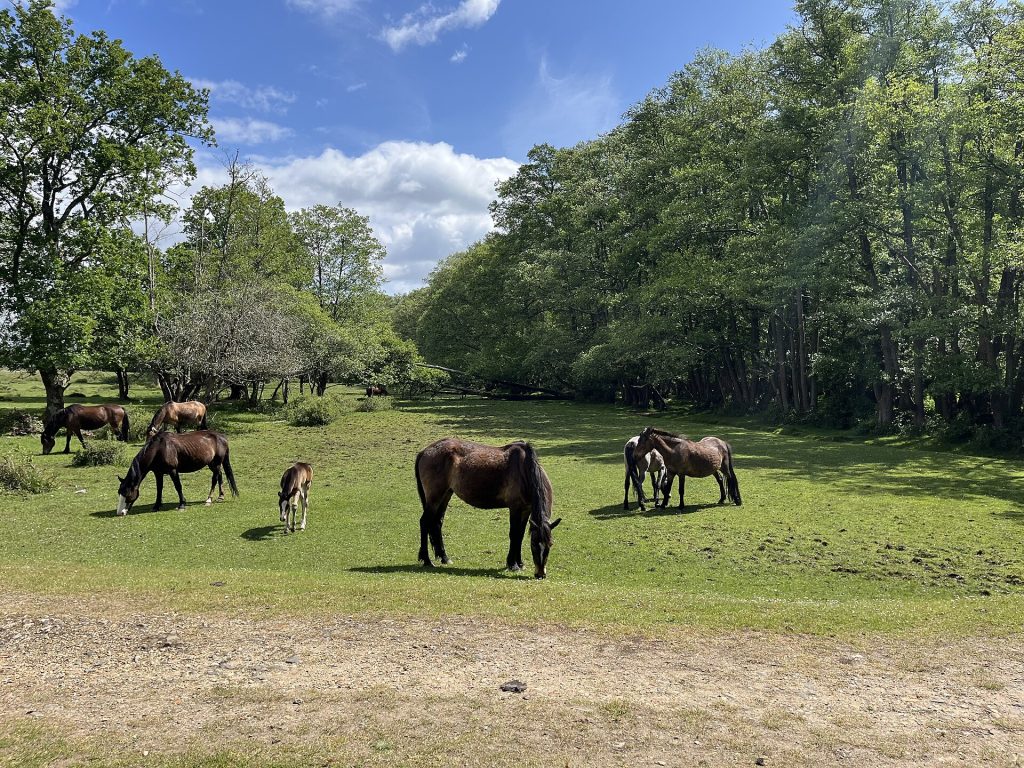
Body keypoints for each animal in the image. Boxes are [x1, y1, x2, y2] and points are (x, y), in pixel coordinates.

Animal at [414, 438, 562, 579]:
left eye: (550, 544)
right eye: (534, 545)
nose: (540, 574)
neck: (524, 469)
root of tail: (424, 451)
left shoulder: (526, 510)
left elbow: (520, 535)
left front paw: (520, 563)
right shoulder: (515, 508)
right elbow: (514, 534)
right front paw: (512, 564)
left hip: (446, 494)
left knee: (437, 523)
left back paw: (444, 558)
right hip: (434, 498)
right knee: (424, 522)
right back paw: (427, 560)